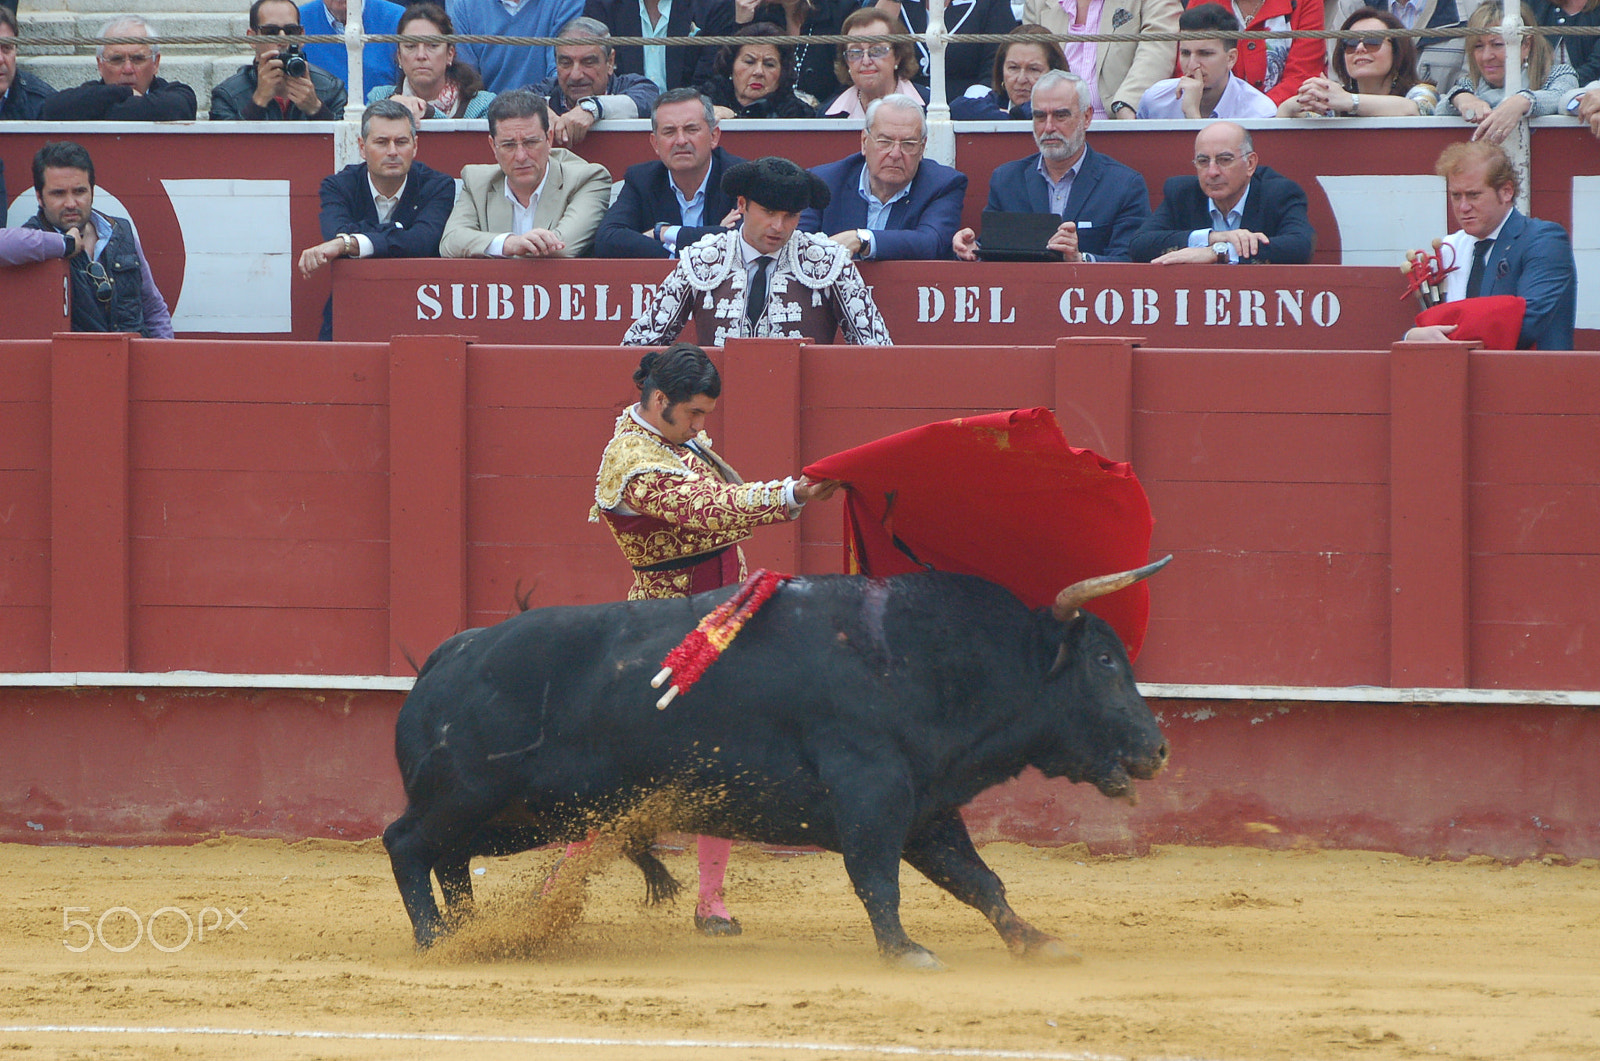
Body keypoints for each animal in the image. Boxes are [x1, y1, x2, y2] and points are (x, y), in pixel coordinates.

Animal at [382, 563, 1171, 972]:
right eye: (1105, 661)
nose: (1158, 748)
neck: (922, 659)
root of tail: (450, 653)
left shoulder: (925, 805)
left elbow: (980, 881)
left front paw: (1038, 942)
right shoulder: (872, 793)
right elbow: (877, 879)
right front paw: (904, 951)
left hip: (518, 815)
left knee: (450, 857)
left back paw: (471, 932)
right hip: (469, 794)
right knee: (406, 843)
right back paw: (435, 940)